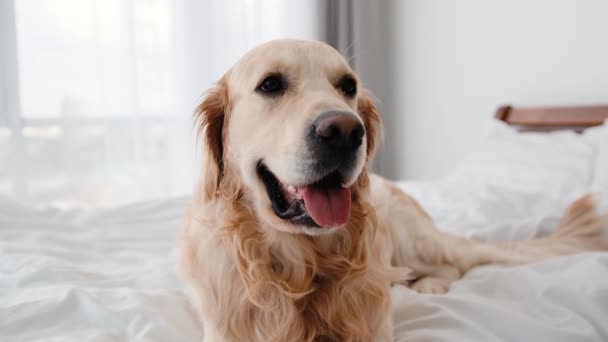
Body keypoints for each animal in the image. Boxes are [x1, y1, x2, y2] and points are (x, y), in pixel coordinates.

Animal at [179, 38, 608, 340]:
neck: (303, 266)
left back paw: (428, 284)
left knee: (453, 264)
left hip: (411, 240)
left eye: (347, 86)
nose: (346, 131)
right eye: (271, 84)